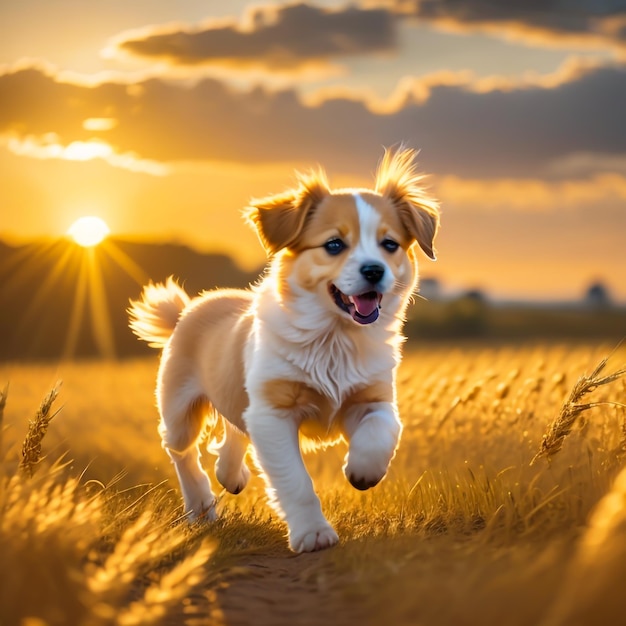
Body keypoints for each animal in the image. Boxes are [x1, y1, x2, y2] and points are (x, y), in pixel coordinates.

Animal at [127, 146, 438, 552]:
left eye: (390, 245)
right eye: (334, 244)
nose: (374, 271)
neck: (333, 337)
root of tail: (186, 309)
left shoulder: (372, 396)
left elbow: (382, 431)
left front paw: (362, 471)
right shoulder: (273, 413)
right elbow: (295, 480)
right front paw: (313, 534)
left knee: (234, 428)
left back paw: (230, 475)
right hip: (179, 406)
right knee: (181, 451)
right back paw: (201, 505)